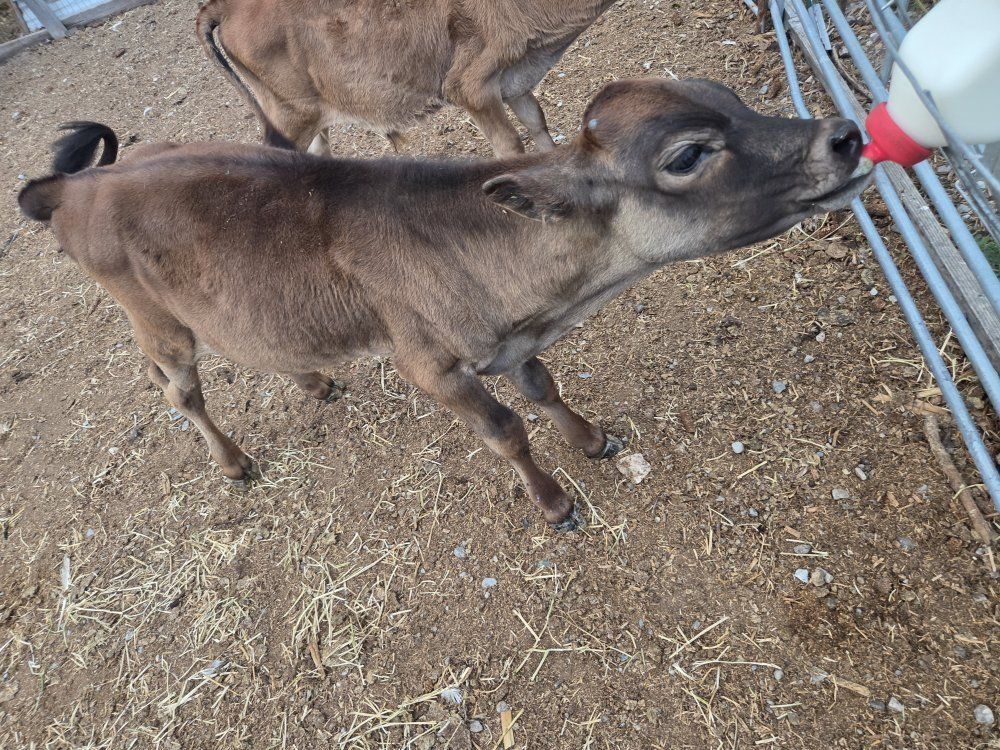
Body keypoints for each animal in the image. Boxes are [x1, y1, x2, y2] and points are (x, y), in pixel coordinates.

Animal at [18, 78, 866, 529]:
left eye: (732, 99)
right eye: (688, 154)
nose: (845, 136)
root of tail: (70, 184)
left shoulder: (512, 343)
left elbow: (543, 389)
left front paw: (591, 439)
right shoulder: (427, 363)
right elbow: (505, 430)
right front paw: (554, 503)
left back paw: (313, 380)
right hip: (152, 317)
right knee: (178, 388)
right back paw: (232, 461)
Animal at [195, 0, 616, 156]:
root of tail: (222, 6)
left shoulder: (515, 80)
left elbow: (537, 123)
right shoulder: (471, 86)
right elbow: (510, 145)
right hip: (289, 117)